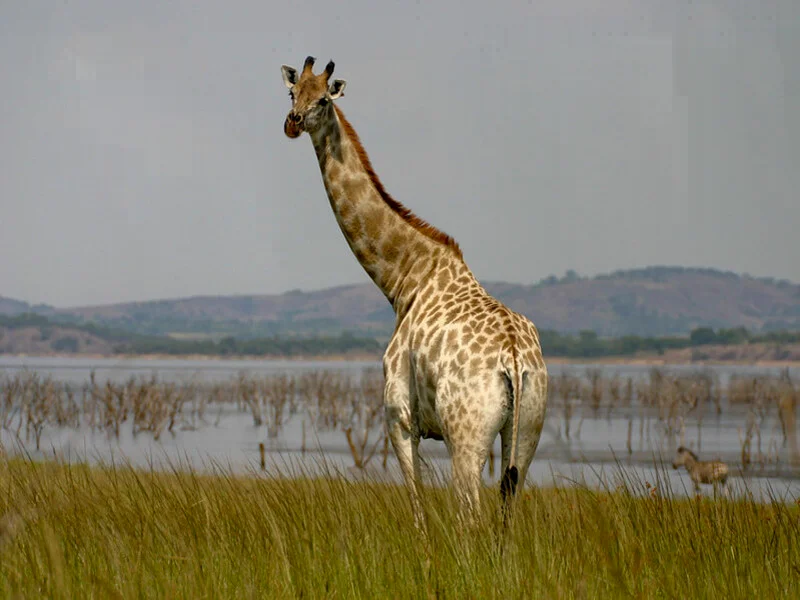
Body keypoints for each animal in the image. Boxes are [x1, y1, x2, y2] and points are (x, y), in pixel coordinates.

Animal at [278, 56, 548, 524]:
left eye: (324, 98)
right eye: (292, 93)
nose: (292, 123)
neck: (404, 279)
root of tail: (514, 360)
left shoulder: (400, 419)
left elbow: (417, 508)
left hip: (467, 433)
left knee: (469, 513)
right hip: (527, 431)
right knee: (505, 511)